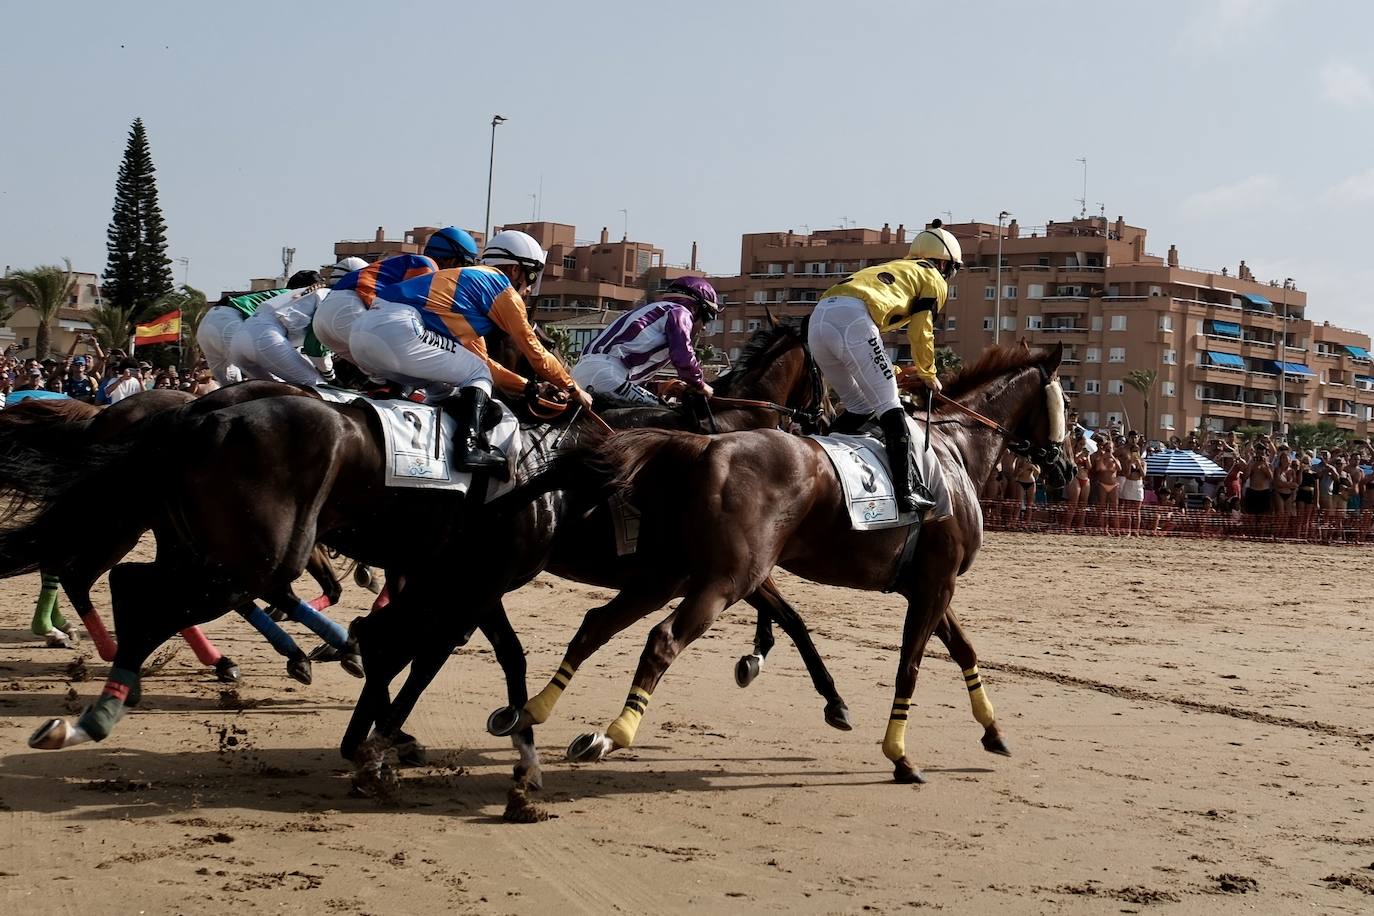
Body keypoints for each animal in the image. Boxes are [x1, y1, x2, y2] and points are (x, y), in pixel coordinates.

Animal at [516, 346, 1071, 791]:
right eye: (1065, 407)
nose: (1064, 468)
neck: (953, 452)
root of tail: (699, 446)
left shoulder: (930, 584)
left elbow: (963, 651)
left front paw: (993, 730)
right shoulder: (935, 583)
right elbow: (909, 666)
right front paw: (899, 755)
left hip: (670, 573)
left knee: (597, 624)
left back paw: (535, 710)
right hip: (724, 578)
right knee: (663, 639)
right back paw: (612, 733)